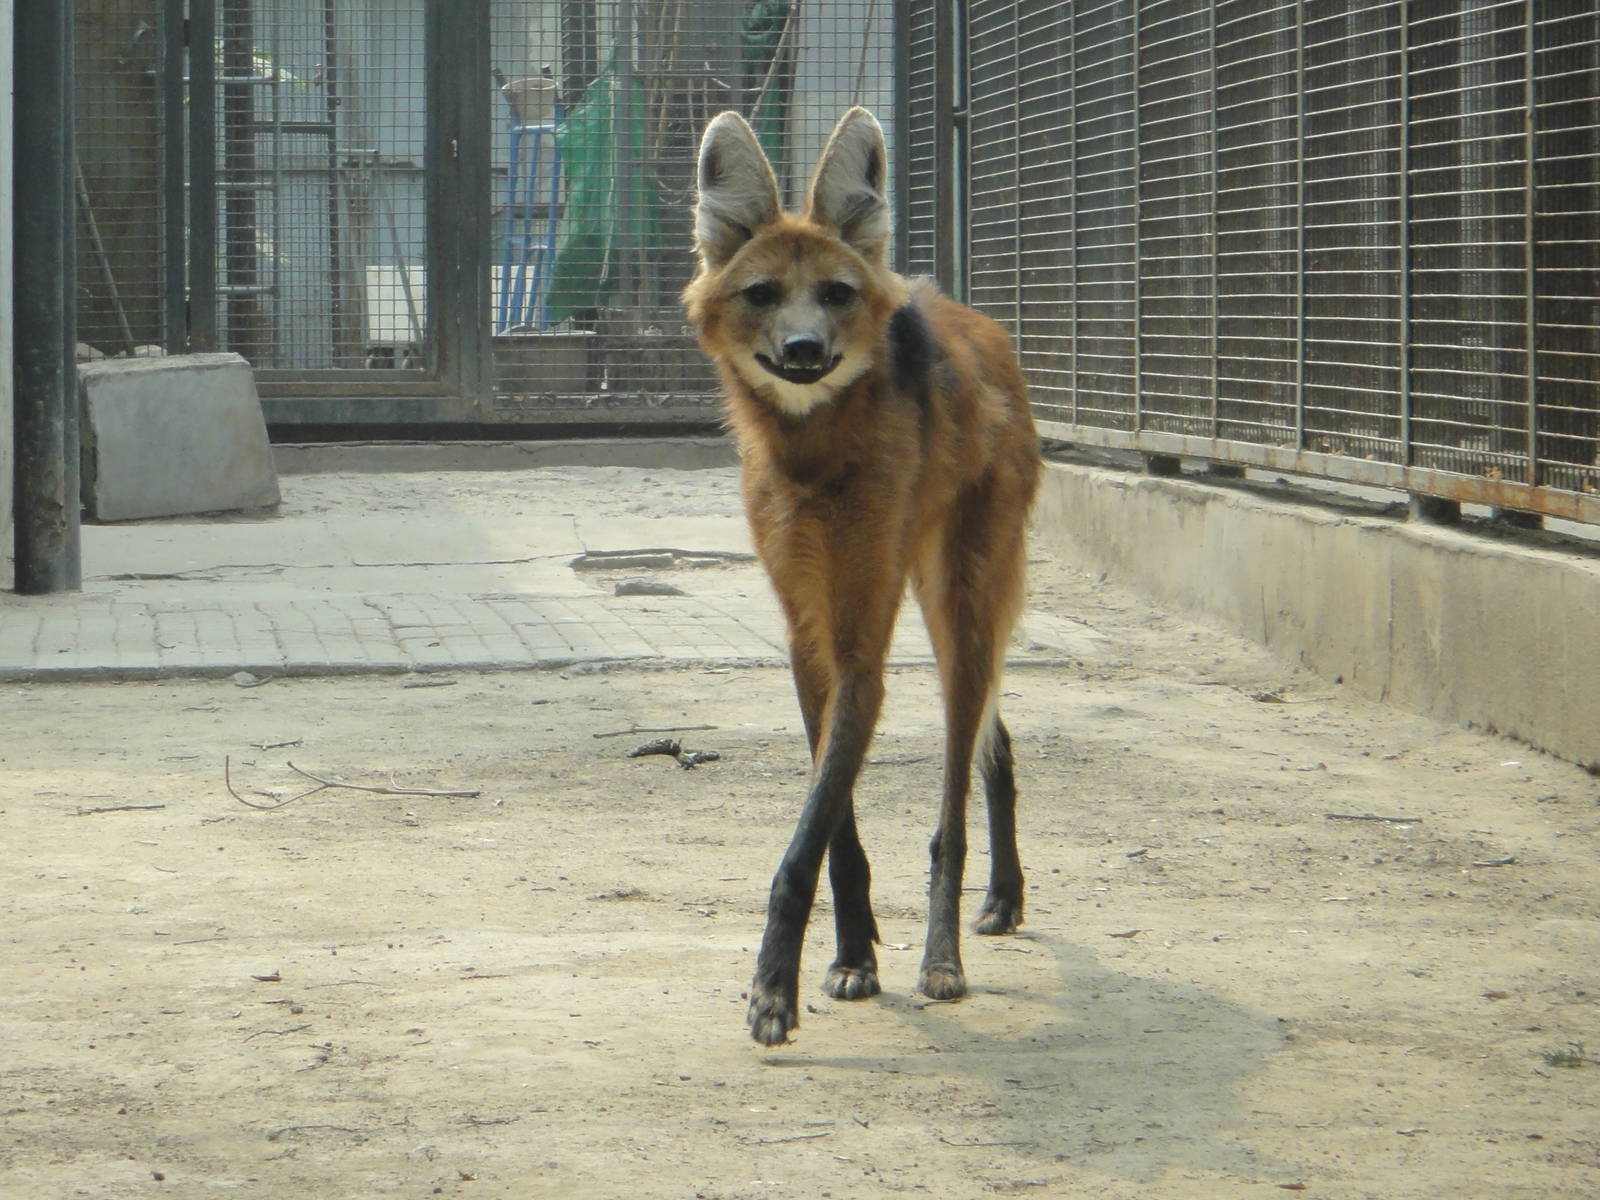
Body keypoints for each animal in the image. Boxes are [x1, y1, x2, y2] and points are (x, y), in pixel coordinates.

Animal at [683, 107, 1042, 1046]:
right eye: (764, 294)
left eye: (836, 294)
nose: (805, 348)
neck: (812, 458)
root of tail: (983, 324)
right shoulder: (808, 636)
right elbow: (834, 823)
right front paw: (851, 956)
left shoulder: (859, 645)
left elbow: (806, 836)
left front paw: (773, 990)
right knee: (996, 734)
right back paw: (1003, 895)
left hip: (960, 596)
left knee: (957, 782)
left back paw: (946, 956)